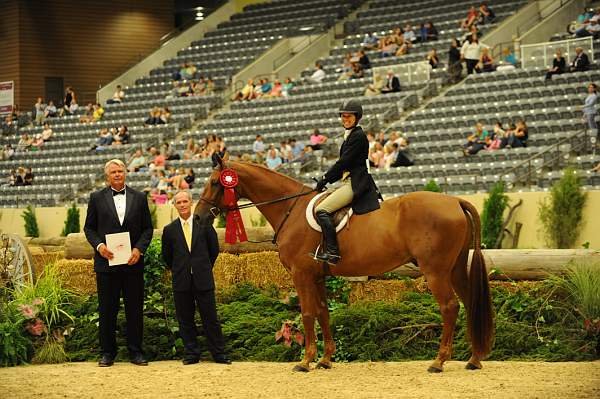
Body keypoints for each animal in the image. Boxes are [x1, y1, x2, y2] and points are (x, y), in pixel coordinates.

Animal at [196, 161, 492, 374]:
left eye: (214, 182)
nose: (198, 217)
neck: (290, 209)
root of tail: (455, 200)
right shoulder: (318, 277)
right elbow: (323, 313)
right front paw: (325, 360)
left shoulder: (301, 275)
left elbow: (307, 314)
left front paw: (305, 362)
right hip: (455, 268)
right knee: (469, 302)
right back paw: (474, 359)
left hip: (436, 271)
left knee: (449, 307)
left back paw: (439, 362)